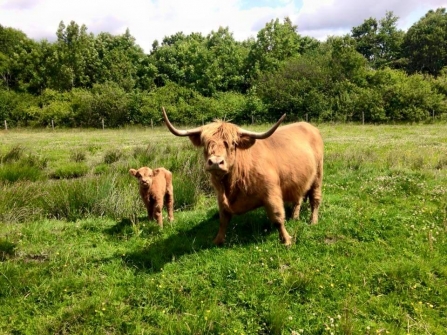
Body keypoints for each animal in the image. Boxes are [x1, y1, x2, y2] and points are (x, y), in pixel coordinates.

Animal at [163, 107, 324, 247]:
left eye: (232, 143)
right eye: (205, 143)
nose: (215, 162)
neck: (232, 185)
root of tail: (309, 126)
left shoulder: (271, 193)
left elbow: (277, 217)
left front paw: (286, 240)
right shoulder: (220, 197)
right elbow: (223, 219)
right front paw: (218, 240)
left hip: (318, 174)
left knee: (315, 199)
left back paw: (313, 221)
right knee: (298, 197)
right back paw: (295, 217)